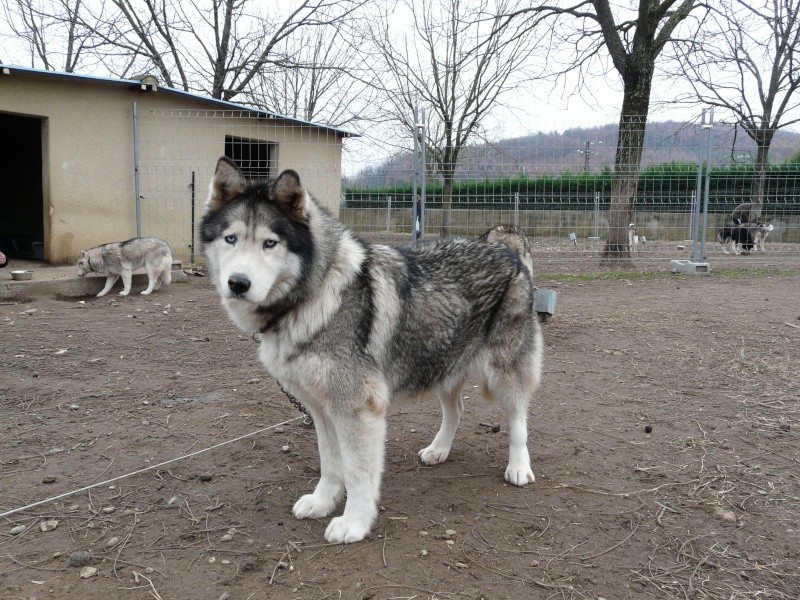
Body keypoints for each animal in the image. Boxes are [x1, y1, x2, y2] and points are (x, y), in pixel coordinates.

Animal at [203, 158, 548, 544]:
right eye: (230, 238)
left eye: (269, 243)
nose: (238, 283)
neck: (314, 294)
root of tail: (504, 247)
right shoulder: (321, 409)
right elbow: (331, 466)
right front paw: (322, 503)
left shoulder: (357, 408)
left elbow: (356, 473)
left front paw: (354, 523)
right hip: (440, 366)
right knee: (456, 410)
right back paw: (439, 450)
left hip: (504, 372)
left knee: (518, 420)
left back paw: (518, 468)